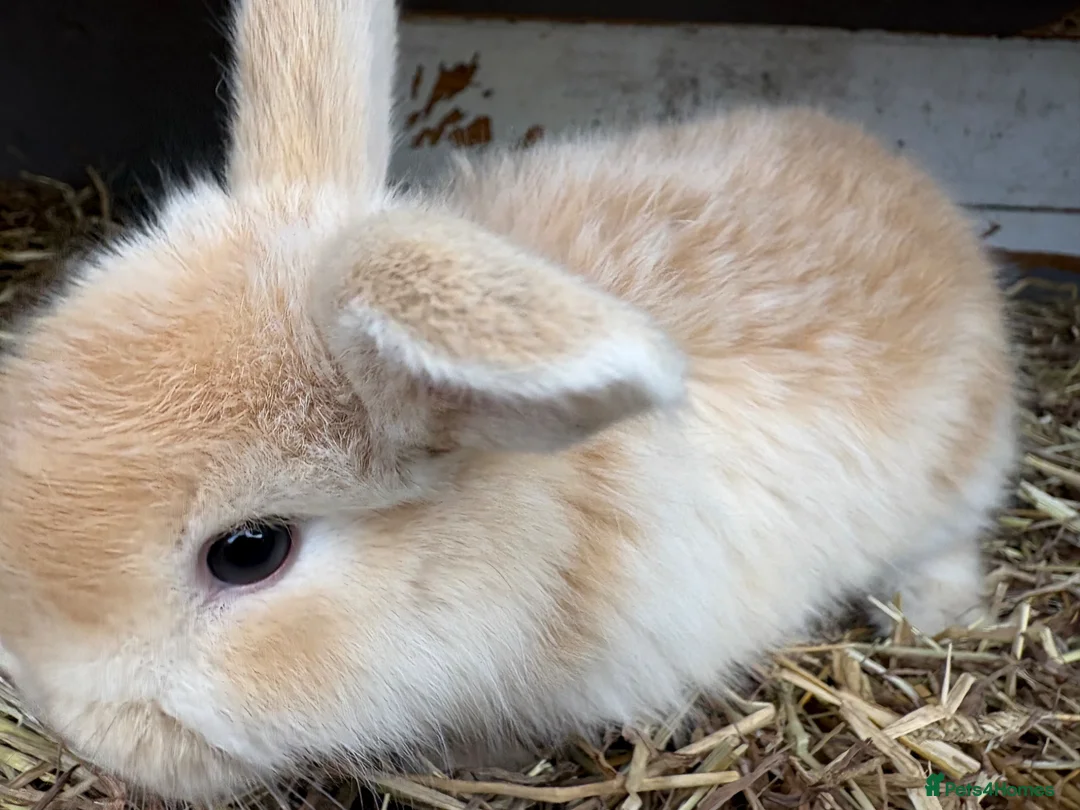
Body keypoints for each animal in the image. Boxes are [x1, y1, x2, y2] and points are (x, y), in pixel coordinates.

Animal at [0, 0, 1019, 802]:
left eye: (249, 552)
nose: (73, 722)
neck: (548, 517)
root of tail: (915, 188)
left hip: (953, 479)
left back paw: (934, 613)